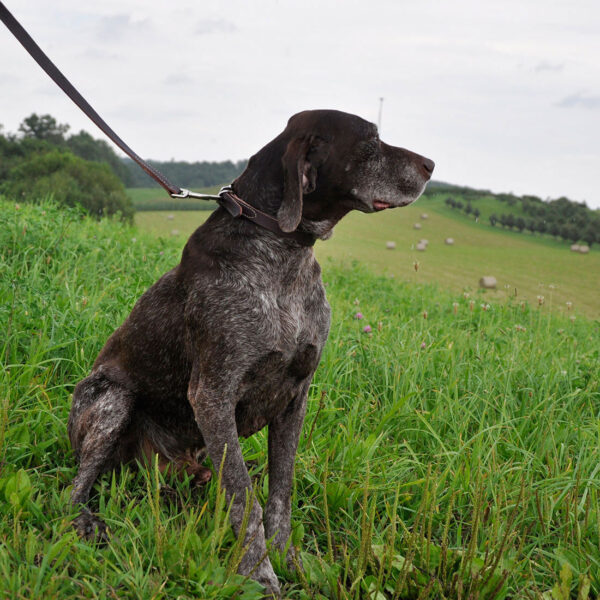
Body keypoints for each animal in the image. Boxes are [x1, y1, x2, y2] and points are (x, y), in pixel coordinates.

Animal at [68, 110, 434, 596]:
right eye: (371, 141)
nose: (431, 165)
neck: (283, 254)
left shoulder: (297, 395)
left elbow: (279, 492)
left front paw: (288, 558)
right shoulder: (213, 394)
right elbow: (246, 499)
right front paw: (258, 573)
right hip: (112, 398)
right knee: (74, 486)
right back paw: (85, 521)